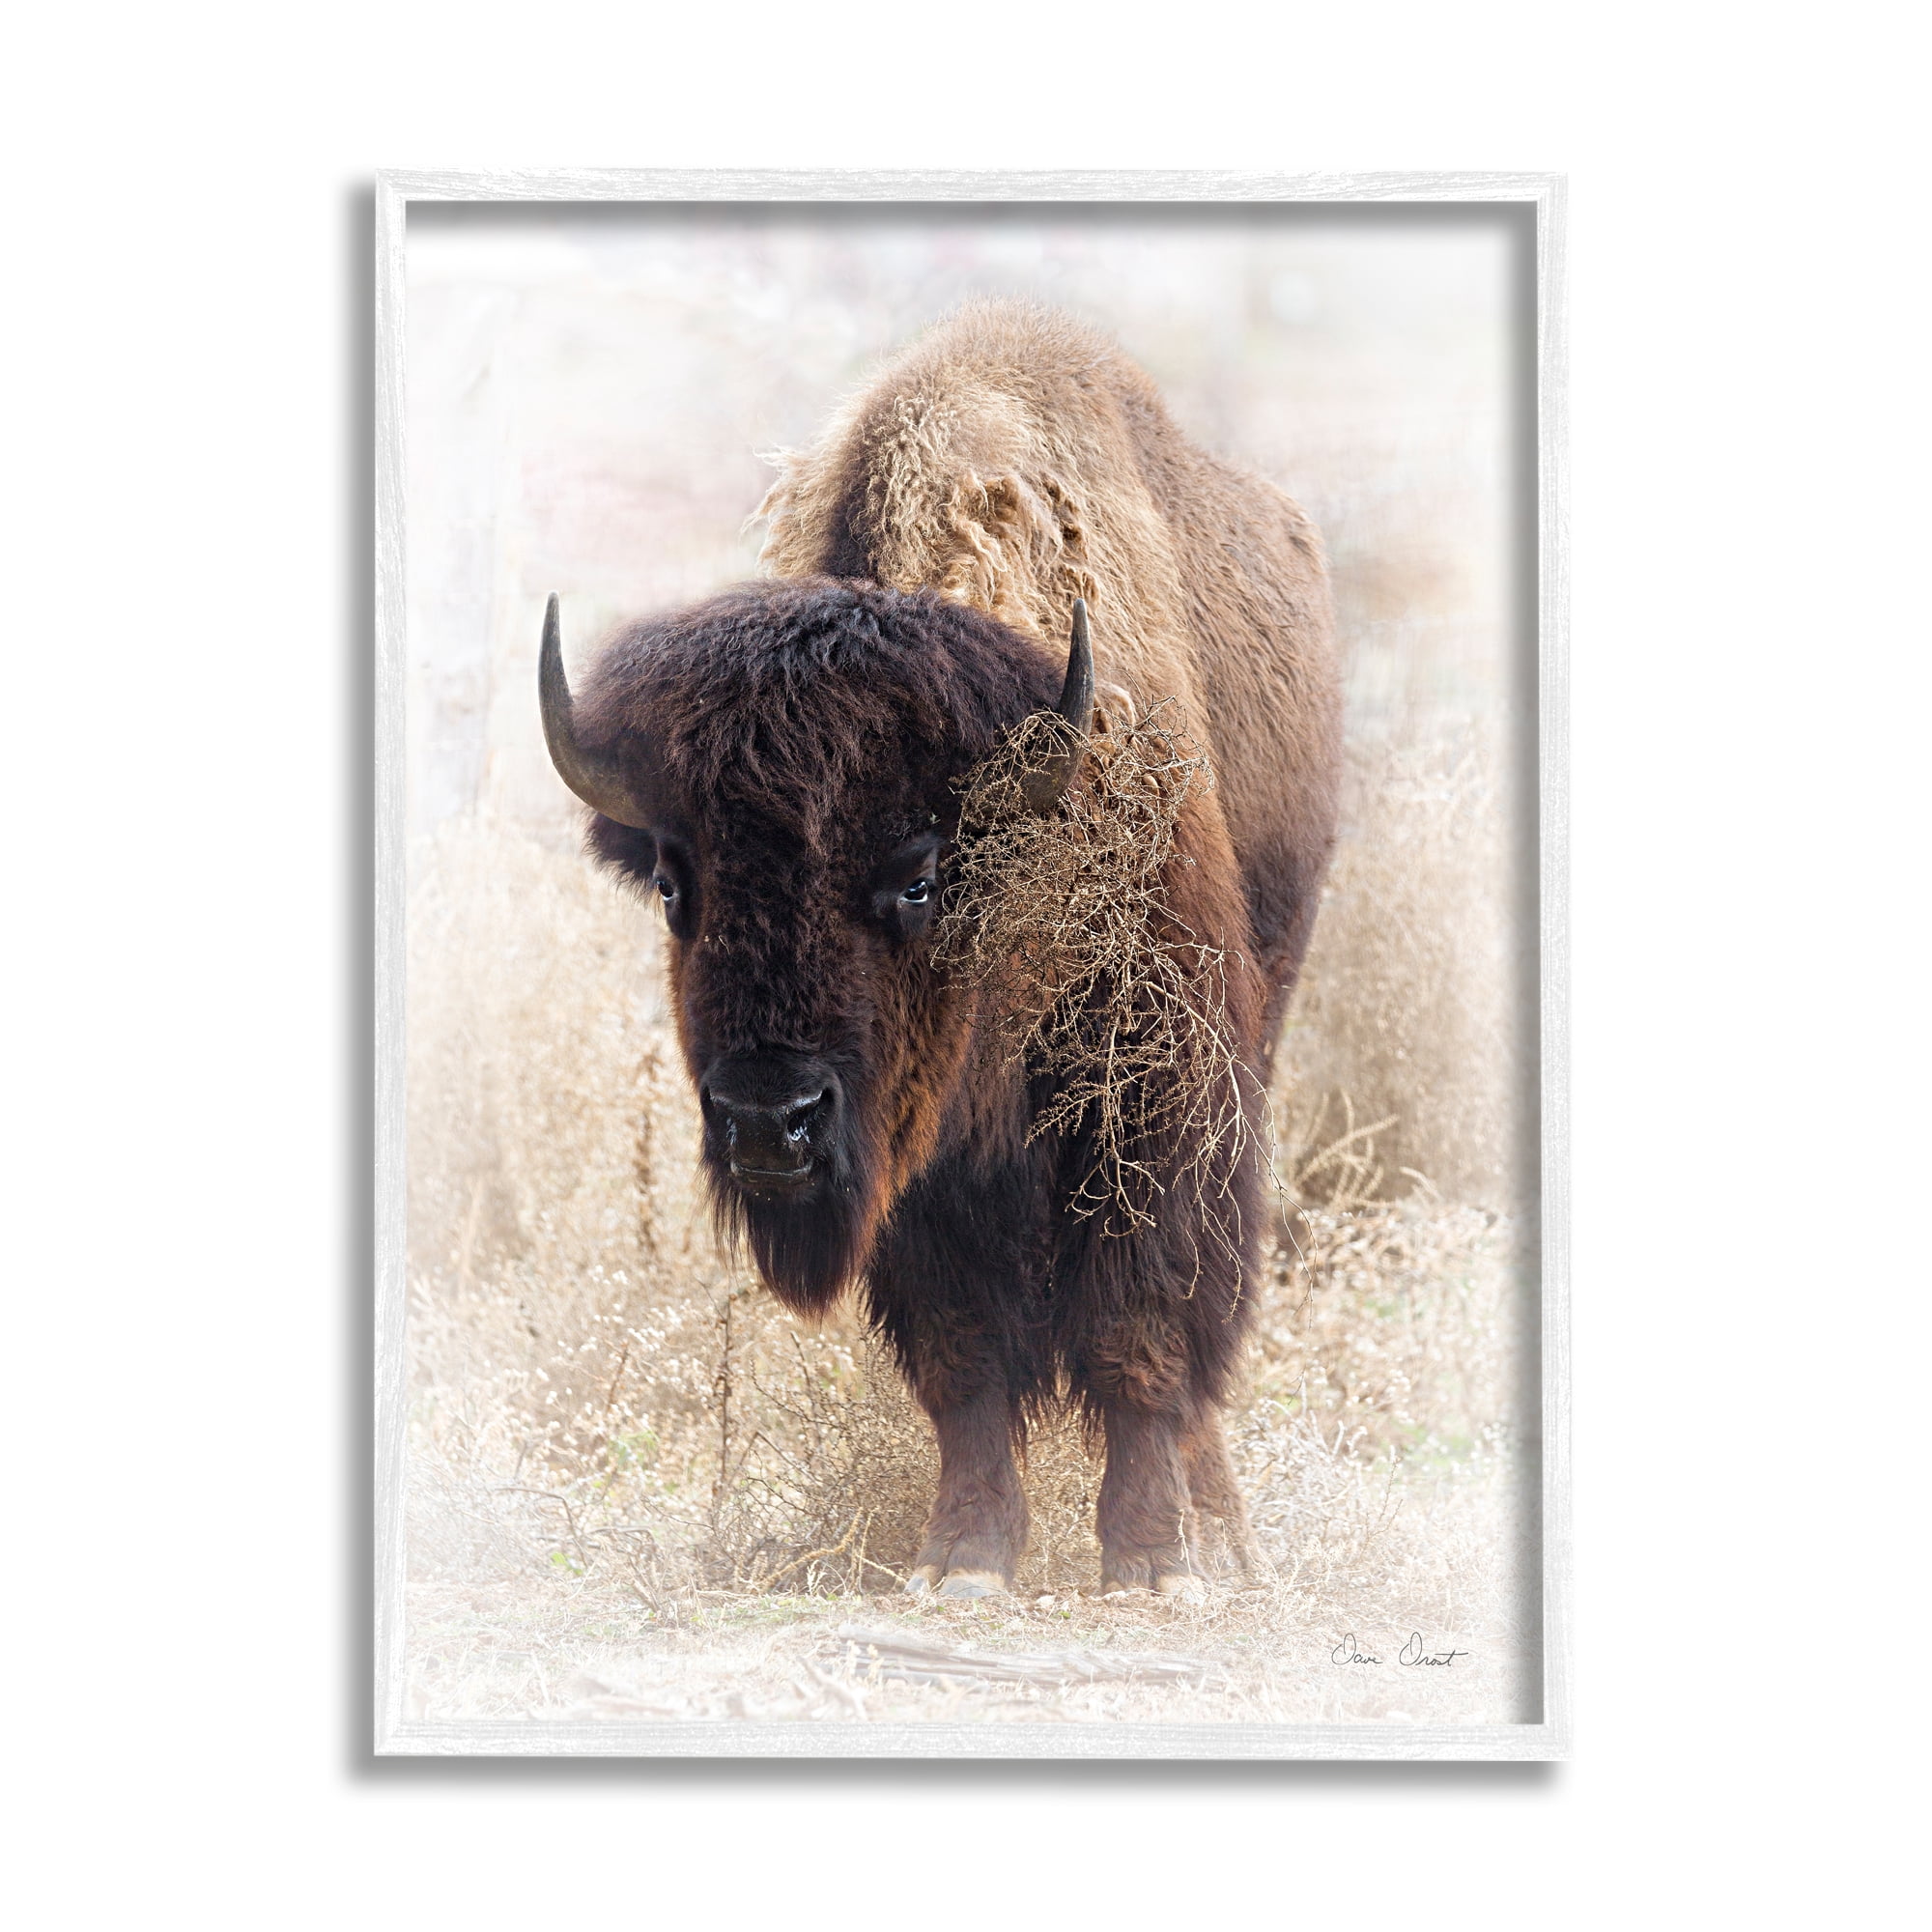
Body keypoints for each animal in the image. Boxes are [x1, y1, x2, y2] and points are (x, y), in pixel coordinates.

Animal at [539, 302, 1341, 1598]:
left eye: (918, 875)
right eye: (672, 883)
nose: (768, 1121)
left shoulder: (1155, 1103)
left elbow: (1139, 1327)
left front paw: (1149, 1559)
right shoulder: (920, 1169)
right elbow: (962, 1355)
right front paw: (963, 1554)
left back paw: (1219, 1532)